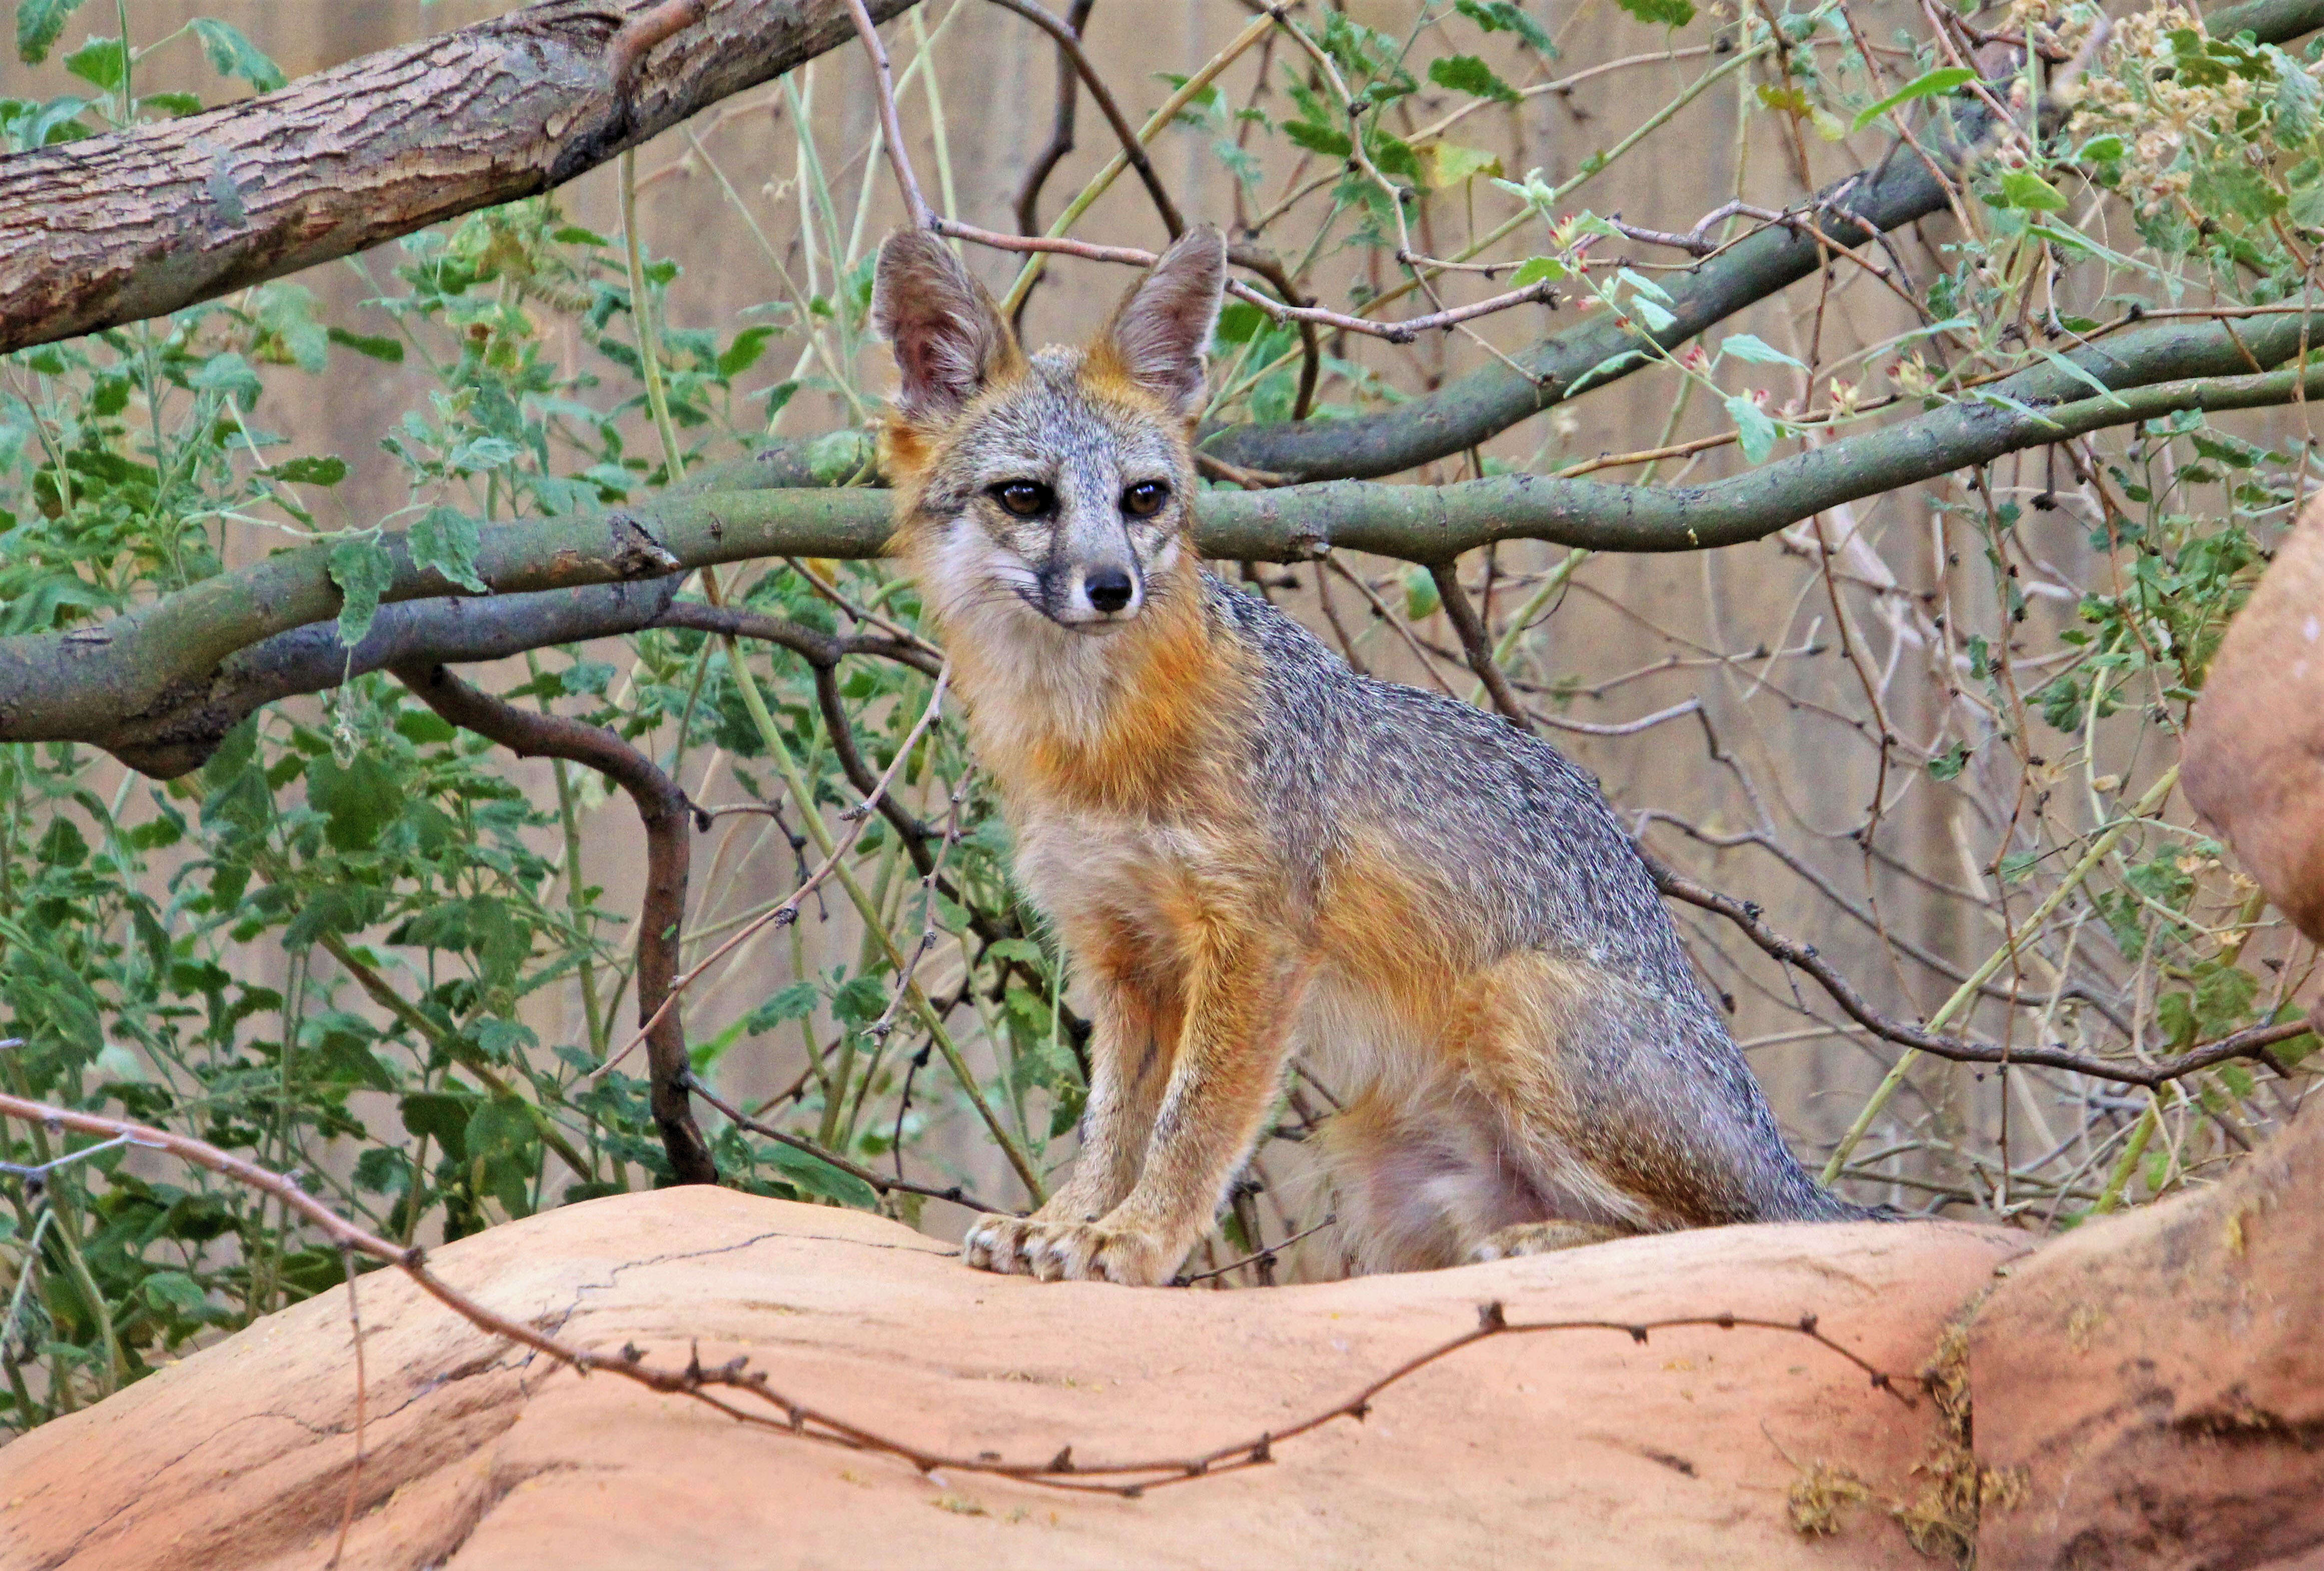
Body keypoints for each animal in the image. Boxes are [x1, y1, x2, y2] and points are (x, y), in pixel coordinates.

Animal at [864, 227, 1859, 1282]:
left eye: (1143, 498)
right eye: (1025, 497)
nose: (1110, 586)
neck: (1096, 745)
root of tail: (1793, 1170)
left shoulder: (1255, 939)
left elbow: (1189, 1125)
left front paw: (1132, 1237)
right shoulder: (1118, 949)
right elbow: (1114, 1120)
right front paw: (1067, 1217)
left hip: (1520, 1004)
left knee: (1731, 1228)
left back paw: (1547, 1239)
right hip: (1380, 1169)